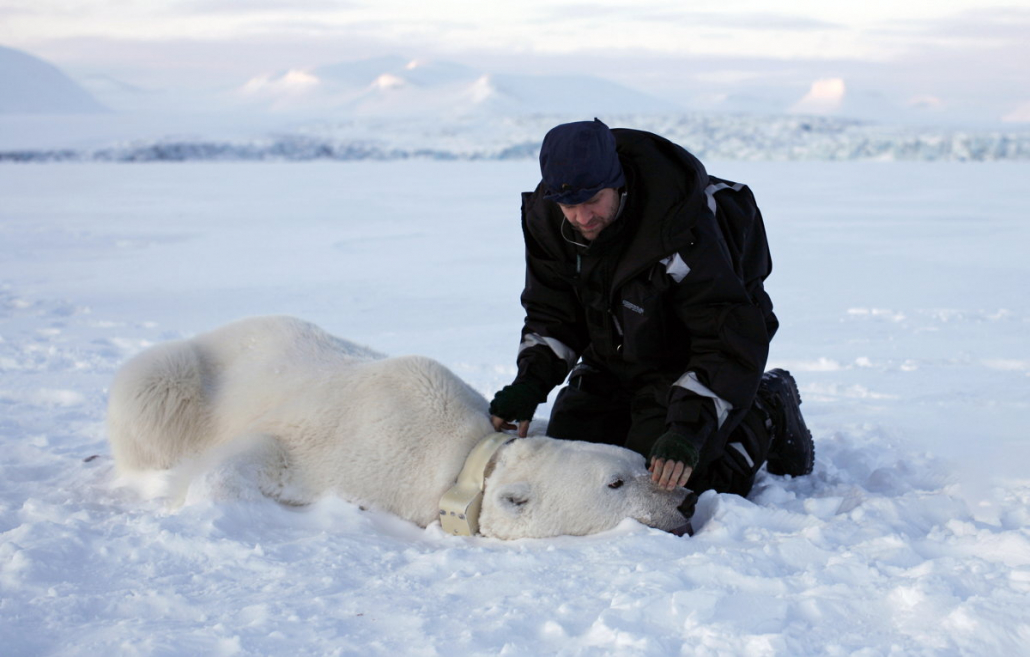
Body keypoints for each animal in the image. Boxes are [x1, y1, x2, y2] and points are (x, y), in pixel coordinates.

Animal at [108, 317, 692, 539]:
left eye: (641, 460)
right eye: (615, 483)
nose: (684, 504)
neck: (464, 458)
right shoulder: (342, 442)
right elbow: (258, 452)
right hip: (175, 376)